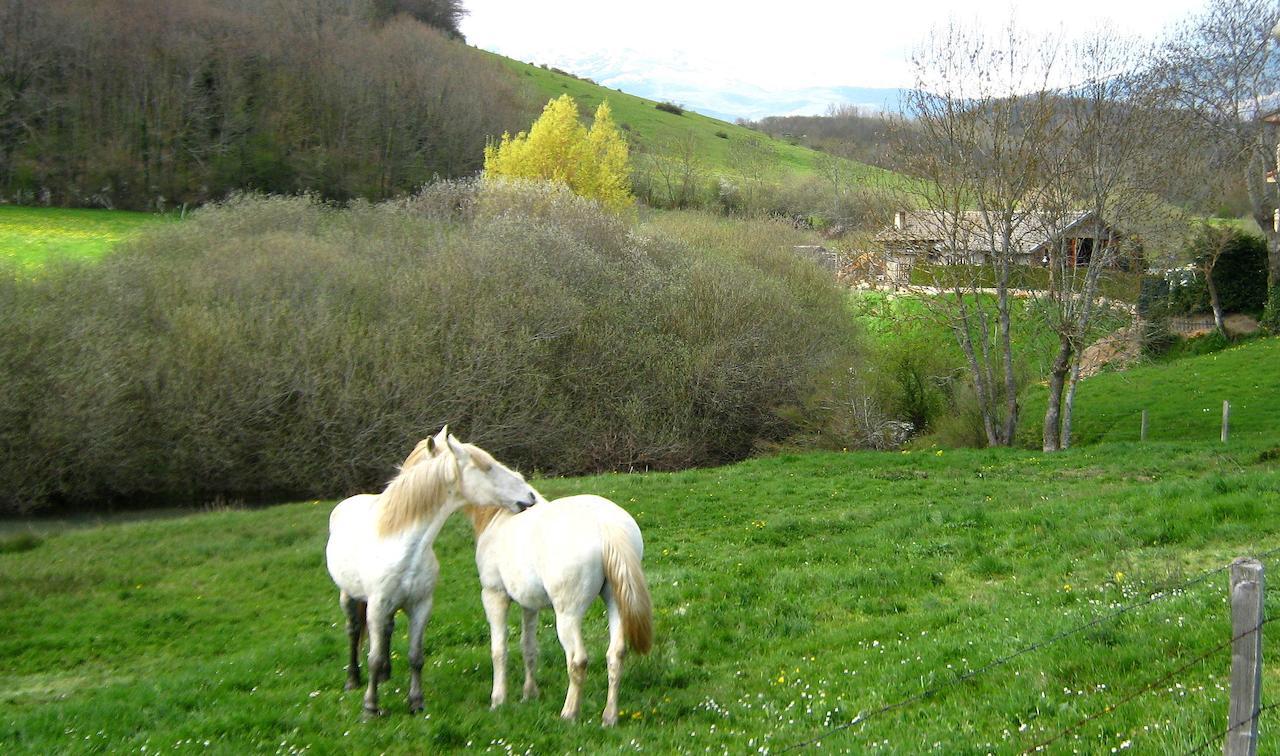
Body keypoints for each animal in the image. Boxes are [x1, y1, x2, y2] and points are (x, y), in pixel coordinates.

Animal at [325, 429, 540, 716]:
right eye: (488, 467)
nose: (530, 496)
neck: (403, 543)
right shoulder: (377, 606)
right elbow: (374, 657)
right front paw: (370, 708)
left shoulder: (421, 605)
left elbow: (416, 657)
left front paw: (416, 702)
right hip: (349, 595)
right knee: (354, 630)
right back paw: (353, 680)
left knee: (387, 630)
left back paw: (385, 675)